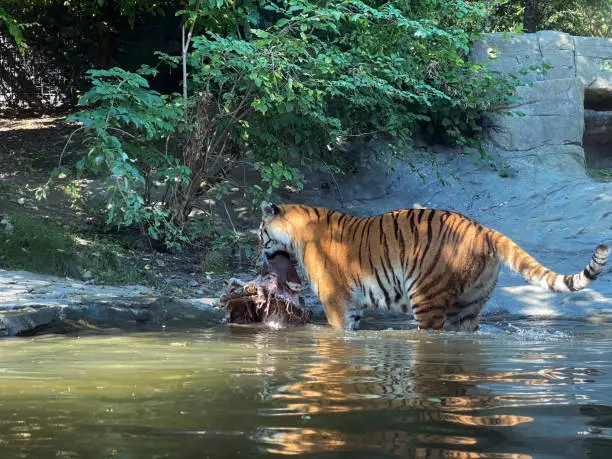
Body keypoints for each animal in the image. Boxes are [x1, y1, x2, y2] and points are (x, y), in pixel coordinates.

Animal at [256, 201, 608, 330]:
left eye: (261, 231)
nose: (259, 251)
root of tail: (484, 229)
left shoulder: (335, 299)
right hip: (468, 306)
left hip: (428, 296)